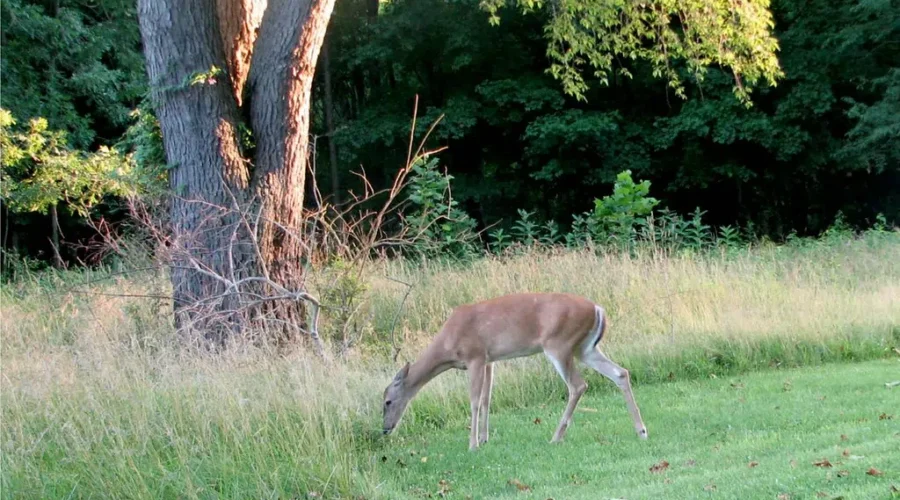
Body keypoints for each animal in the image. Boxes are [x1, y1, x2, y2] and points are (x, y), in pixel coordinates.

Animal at [382, 292, 648, 450]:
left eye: (387, 401)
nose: (385, 429)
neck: (448, 344)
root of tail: (598, 309)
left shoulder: (475, 355)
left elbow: (474, 401)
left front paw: (473, 444)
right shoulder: (489, 360)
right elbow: (487, 399)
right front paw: (484, 438)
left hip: (559, 344)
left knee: (578, 385)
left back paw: (556, 437)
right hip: (585, 348)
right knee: (620, 373)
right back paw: (641, 430)